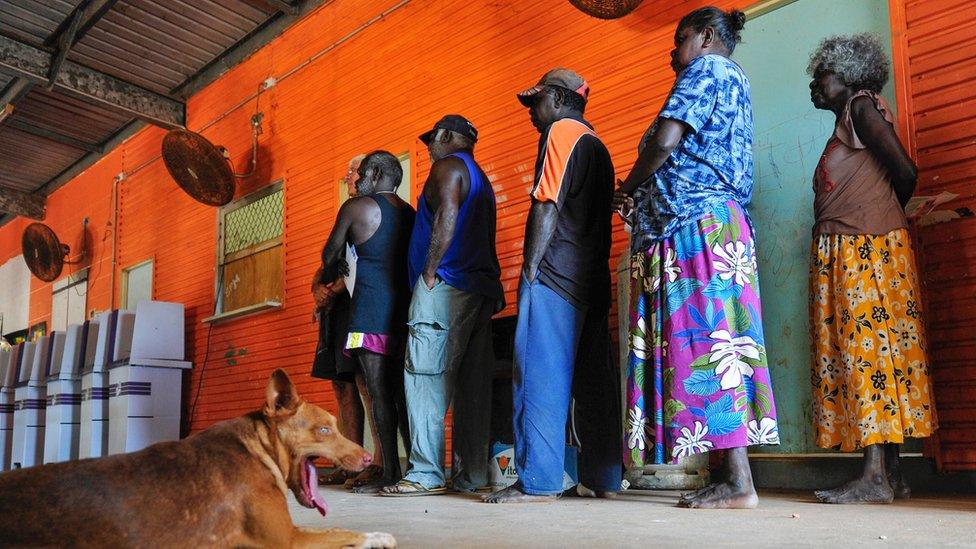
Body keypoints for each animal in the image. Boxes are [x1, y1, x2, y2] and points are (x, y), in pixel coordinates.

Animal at [0, 368, 396, 548]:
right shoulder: (287, 539)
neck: (258, 447)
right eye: (325, 430)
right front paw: (377, 535)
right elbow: (342, 531)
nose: (368, 459)